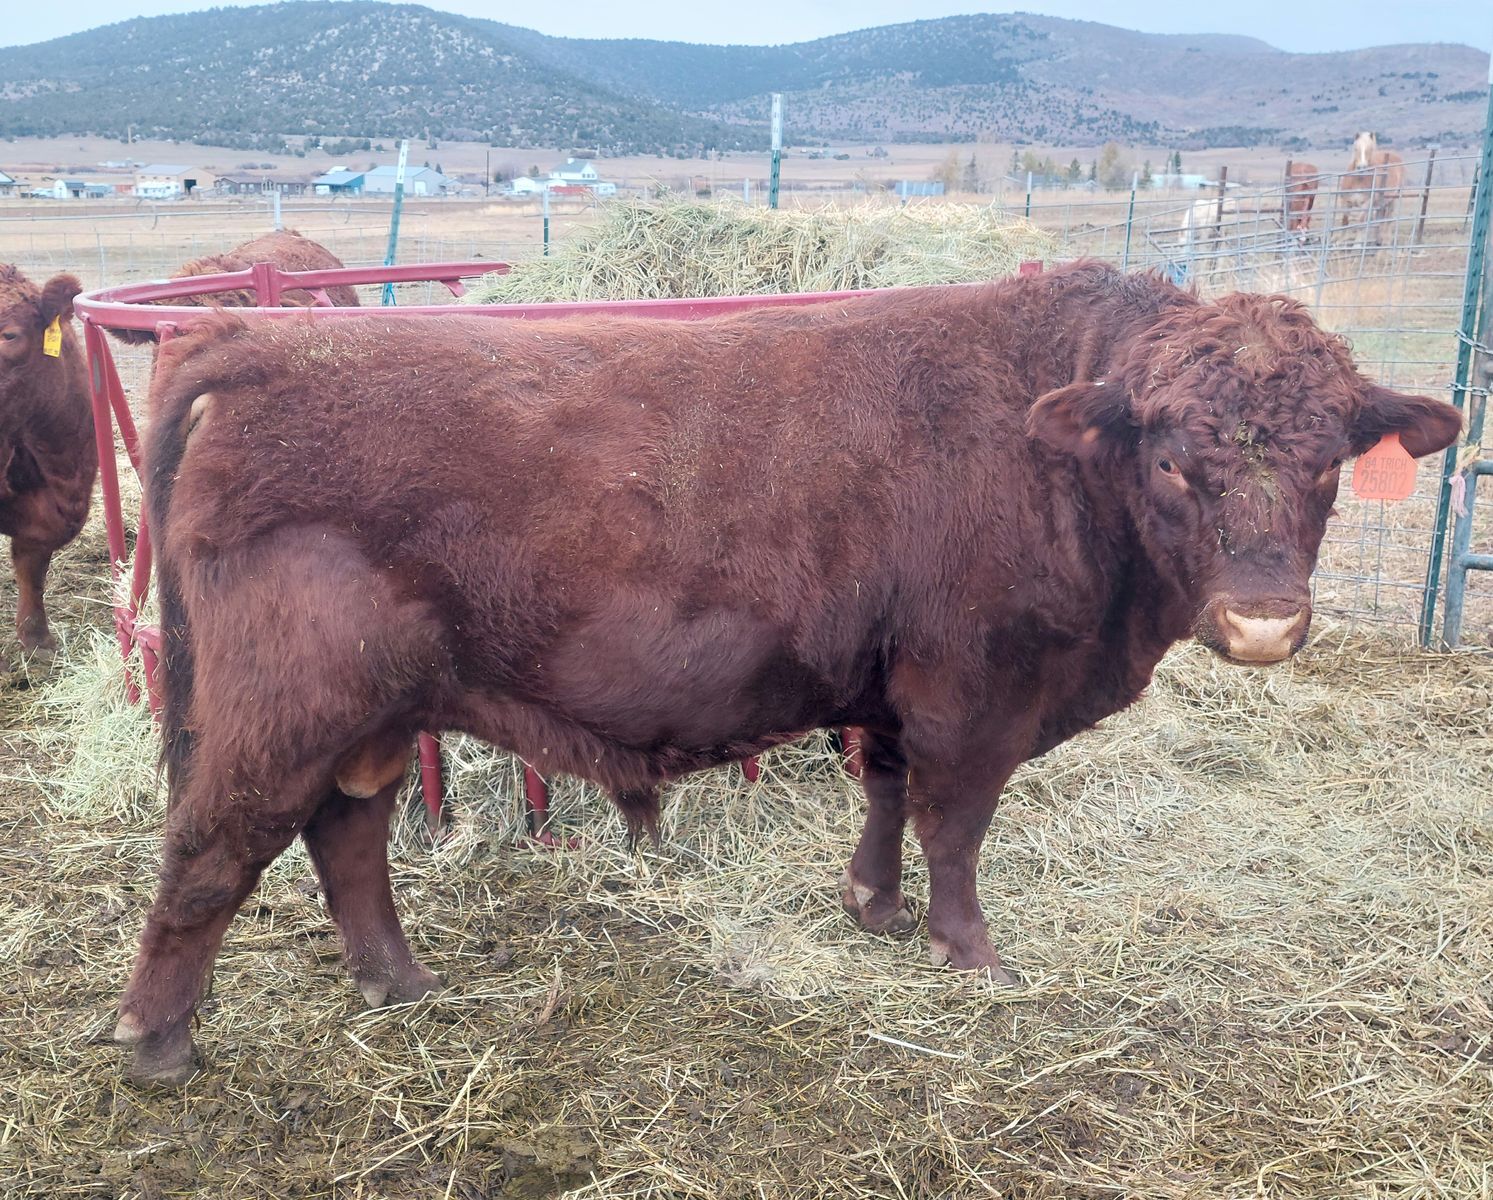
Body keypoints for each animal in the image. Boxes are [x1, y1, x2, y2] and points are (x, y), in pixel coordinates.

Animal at [113, 261, 1461, 1084]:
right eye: (1173, 458)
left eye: (1328, 461)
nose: (1262, 624)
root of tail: (255, 340)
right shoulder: (975, 688)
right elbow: (956, 823)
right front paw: (969, 954)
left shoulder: (893, 689)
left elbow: (886, 793)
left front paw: (870, 907)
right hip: (282, 706)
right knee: (214, 846)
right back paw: (159, 1044)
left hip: (371, 714)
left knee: (346, 833)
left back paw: (398, 983)